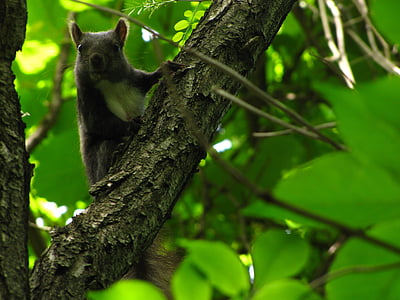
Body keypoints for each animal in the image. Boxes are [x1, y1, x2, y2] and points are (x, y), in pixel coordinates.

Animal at [70, 18, 180, 296]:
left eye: (116, 47)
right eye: (80, 48)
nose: (96, 59)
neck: (109, 84)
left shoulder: (134, 80)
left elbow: (146, 79)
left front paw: (165, 69)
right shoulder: (89, 104)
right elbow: (103, 125)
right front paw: (131, 125)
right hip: (101, 158)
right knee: (108, 146)